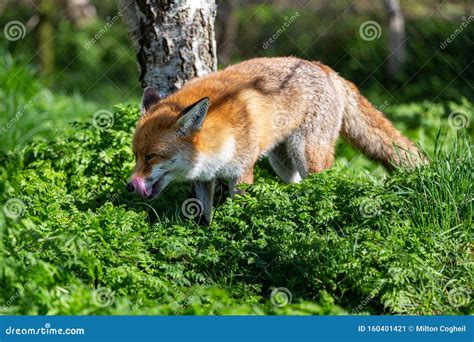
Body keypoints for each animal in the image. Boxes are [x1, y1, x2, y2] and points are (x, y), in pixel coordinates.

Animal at [125, 57, 422, 224]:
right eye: (136, 155)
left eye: (152, 156)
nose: (129, 186)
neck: (217, 142)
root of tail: (324, 68)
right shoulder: (203, 179)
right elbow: (204, 217)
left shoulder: (241, 172)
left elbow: (239, 212)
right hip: (282, 164)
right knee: (297, 186)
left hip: (307, 155)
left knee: (323, 185)